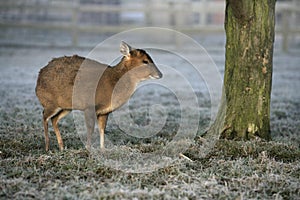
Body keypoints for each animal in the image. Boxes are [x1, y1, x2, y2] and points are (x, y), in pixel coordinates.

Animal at [35, 42, 163, 152]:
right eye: (145, 61)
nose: (160, 74)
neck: (112, 83)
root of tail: (39, 77)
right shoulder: (89, 106)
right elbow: (90, 128)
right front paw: (88, 149)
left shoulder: (104, 111)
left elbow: (102, 129)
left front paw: (102, 149)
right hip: (50, 102)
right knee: (44, 116)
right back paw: (47, 147)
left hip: (65, 106)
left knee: (54, 119)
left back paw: (61, 147)